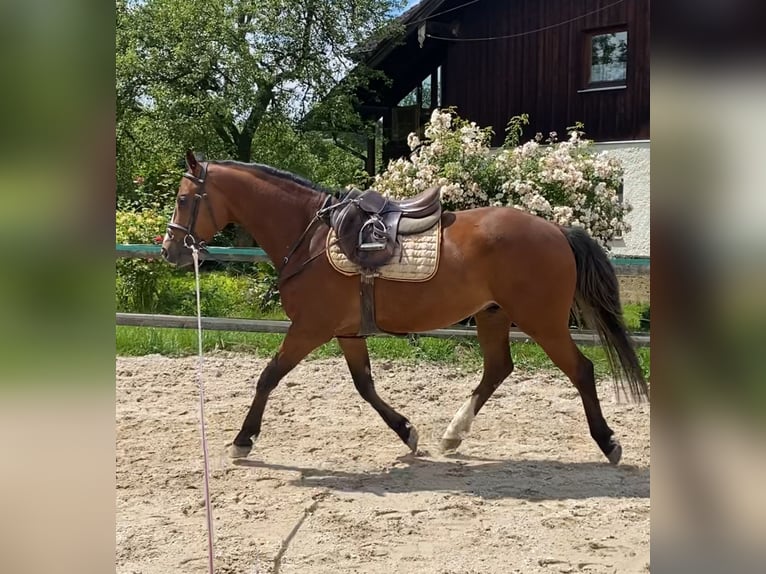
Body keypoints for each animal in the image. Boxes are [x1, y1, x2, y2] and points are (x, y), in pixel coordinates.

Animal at [160, 152, 648, 468]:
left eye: (184, 199)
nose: (169, 251)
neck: (312, 237)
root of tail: (557, 230)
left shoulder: (309, 328)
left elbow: (268, 377)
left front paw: (243, 440)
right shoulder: (346, 332)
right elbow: (365, 385)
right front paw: (407, 432)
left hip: (542, 321)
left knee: (581, 370)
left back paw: (608, 442)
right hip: (493, 314)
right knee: (498, 369)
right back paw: (452, 434)